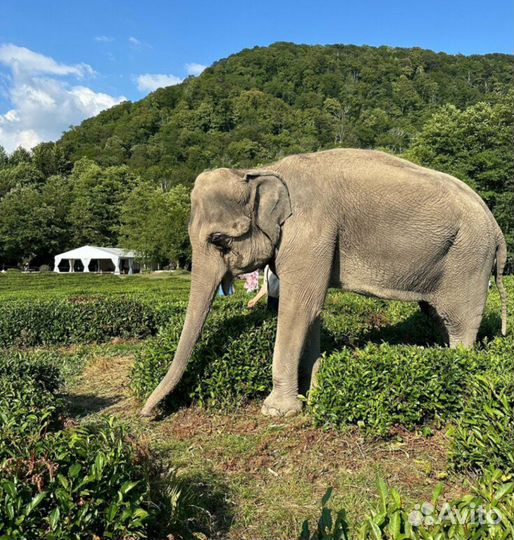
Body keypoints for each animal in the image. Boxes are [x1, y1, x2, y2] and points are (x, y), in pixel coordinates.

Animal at [141, 148, 508, 418]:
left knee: (460, 322)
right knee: (437, 316)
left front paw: (278, 412)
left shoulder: (310, 230)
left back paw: (456, 365)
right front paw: (314, 392)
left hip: (469, 259)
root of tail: (497, 227)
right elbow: (311, 310)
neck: (263, 170)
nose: (147, 413)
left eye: (219, 240)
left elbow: (298, 306)